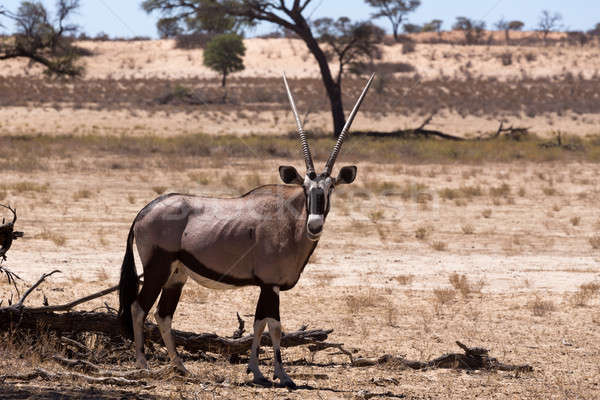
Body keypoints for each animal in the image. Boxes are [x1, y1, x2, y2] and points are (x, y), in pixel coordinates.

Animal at [118, 73, 376, 390]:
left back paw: (181, 367)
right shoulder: (270, 284)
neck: (289, 219)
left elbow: (258, 324)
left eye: (331, 188)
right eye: (305, 188)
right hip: (158, 268)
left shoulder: (266, 286)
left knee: (163, 315)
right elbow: (274, 327)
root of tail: (144, 211)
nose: (314, 224)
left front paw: (256, 370)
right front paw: (281, 375)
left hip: (176, 275)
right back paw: (143, 364)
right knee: (138, 308)